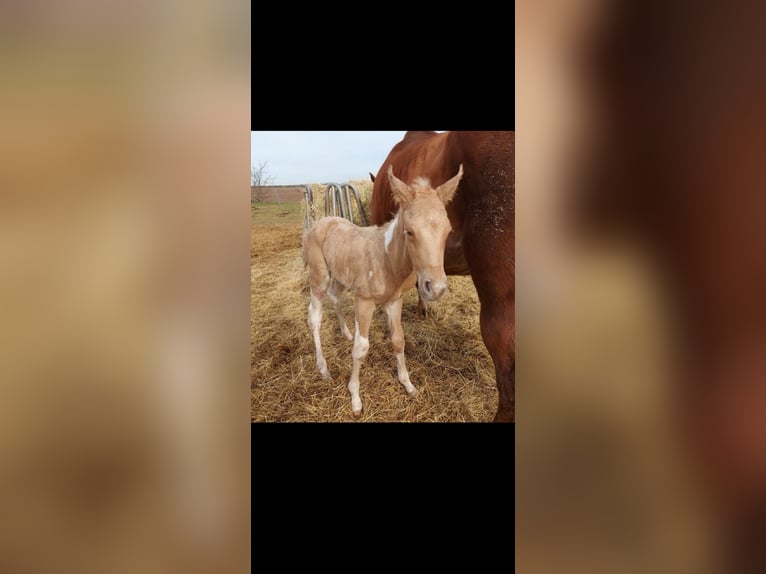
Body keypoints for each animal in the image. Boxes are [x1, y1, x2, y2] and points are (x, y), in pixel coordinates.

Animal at [302, 165, 463, 416]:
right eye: (409, 231)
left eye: (448, 231)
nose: (435, 288)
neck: (388, 259)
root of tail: (318, 223)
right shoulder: (364, 301)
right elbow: (361, 348)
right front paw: (355, 397)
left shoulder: (394, 301)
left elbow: (398, 339)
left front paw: (408, 384)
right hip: (319, 276)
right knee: (315, 316)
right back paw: (323, 368)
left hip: (341, 276)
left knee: (335, 297)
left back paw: (346, 332)